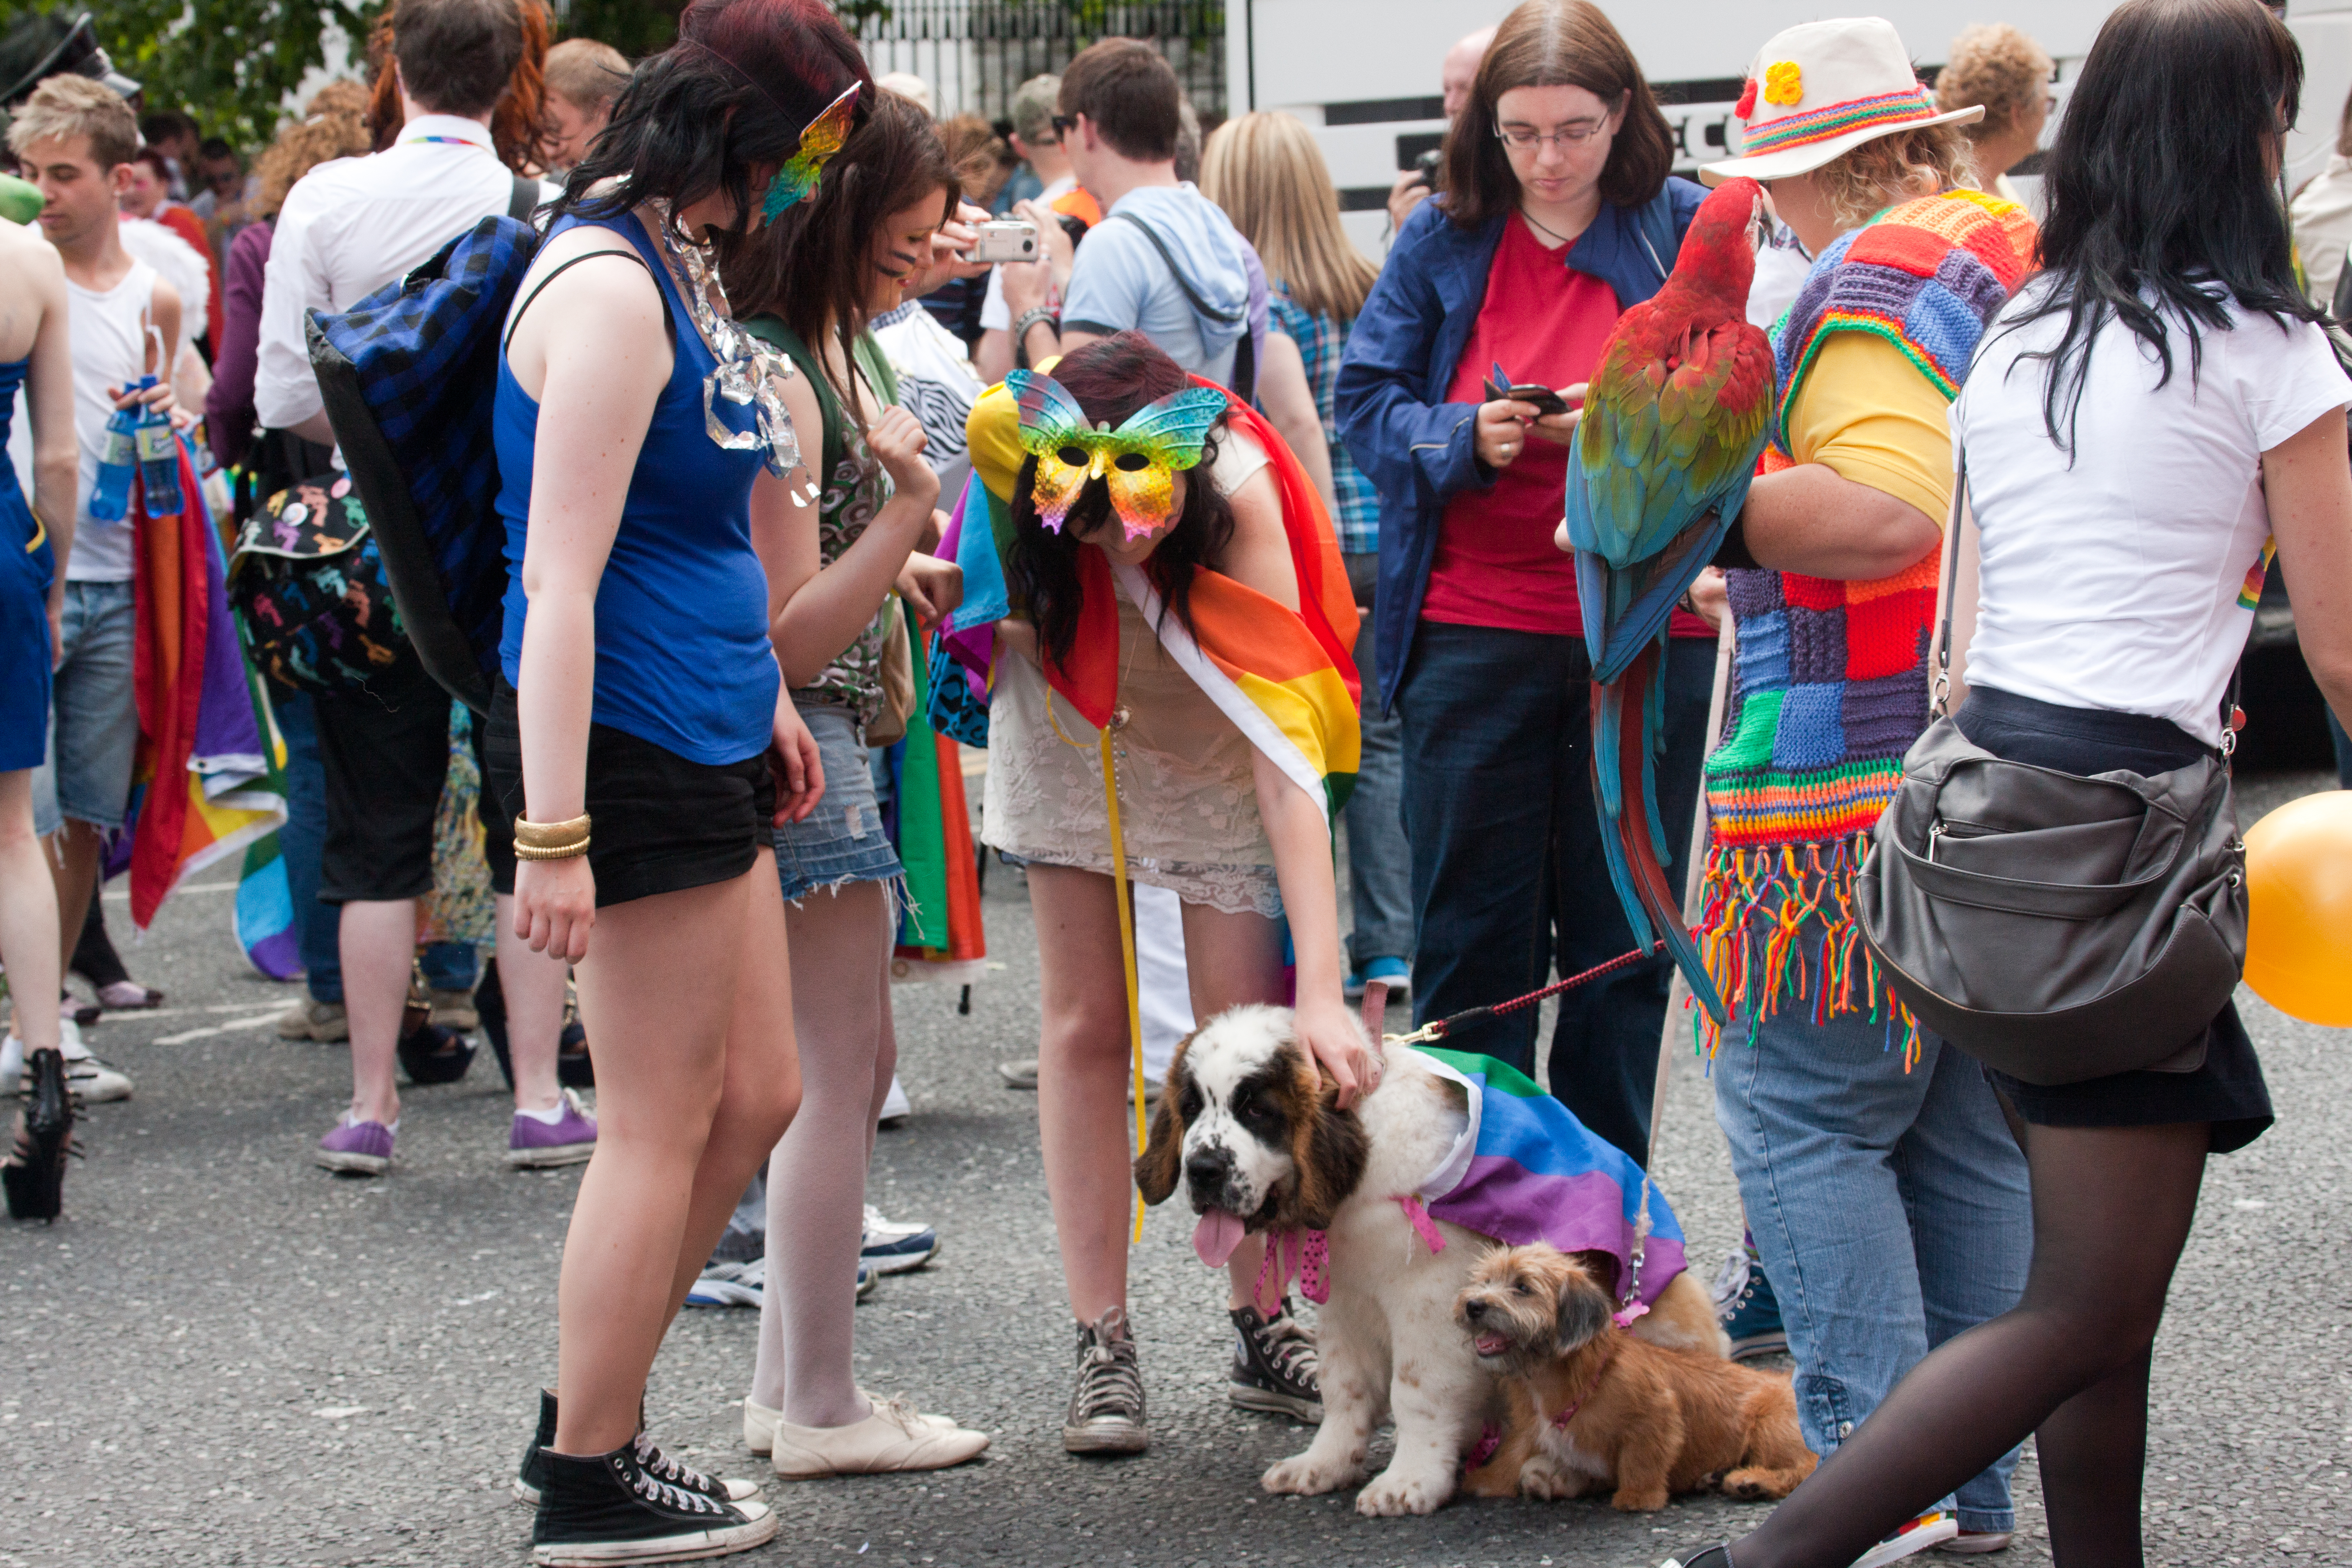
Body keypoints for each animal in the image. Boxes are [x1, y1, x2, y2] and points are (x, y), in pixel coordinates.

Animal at [1129, 1006, 1721, 1523]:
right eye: (1192, 1107)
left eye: (1256, 1110)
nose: (1203, 1170)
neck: (1357, 1177)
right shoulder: (1347, 1302)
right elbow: (1345, 1386)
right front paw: (1325, 1464)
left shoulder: (1431, 1305)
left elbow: (1415, 1393)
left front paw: (1408, 1482)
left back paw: (1558, 1472)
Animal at [1449, 1241, 1816, 1514]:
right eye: (1485, 1281)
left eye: (1523, 1287)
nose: (1474, 1305)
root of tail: (1786, 1381)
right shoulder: (1530, 1427)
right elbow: (1515, 1452)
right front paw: (1491, 1479)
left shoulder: (1657, 1413)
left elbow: (1643, 1458)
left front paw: (1638, 1499)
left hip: (1771, 1429)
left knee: (1805, 1467)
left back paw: (1754, 1482)